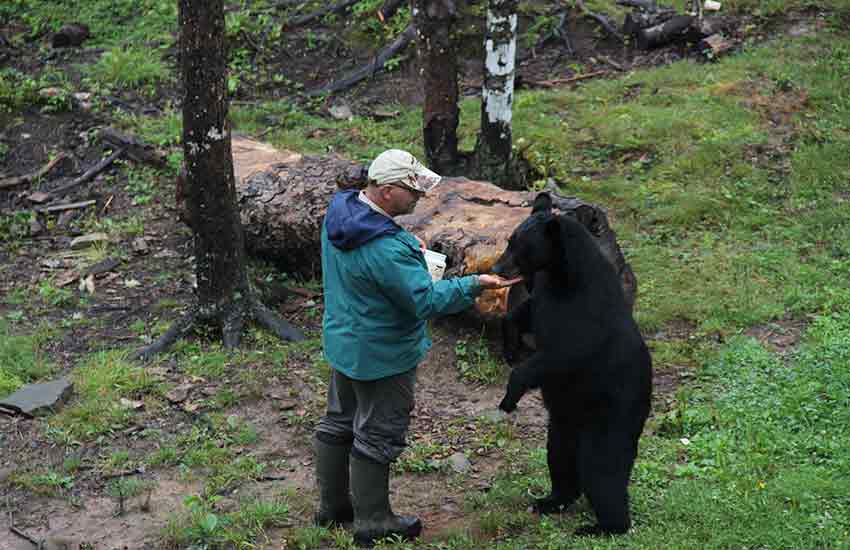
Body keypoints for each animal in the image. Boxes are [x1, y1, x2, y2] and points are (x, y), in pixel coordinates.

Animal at [490, 193, 648, 540]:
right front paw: (510, 346)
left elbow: (565, 351)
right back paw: (550, 500)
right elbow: (522, 313)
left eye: (520, 246)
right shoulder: (545, 294)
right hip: (563, 423)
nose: (496, 268)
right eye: (509, 240)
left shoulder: (587, 313)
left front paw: (510, 394)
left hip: (612, 414)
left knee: (602, 468)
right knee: (560, 458)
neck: (564, 276)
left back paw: (602, 526)